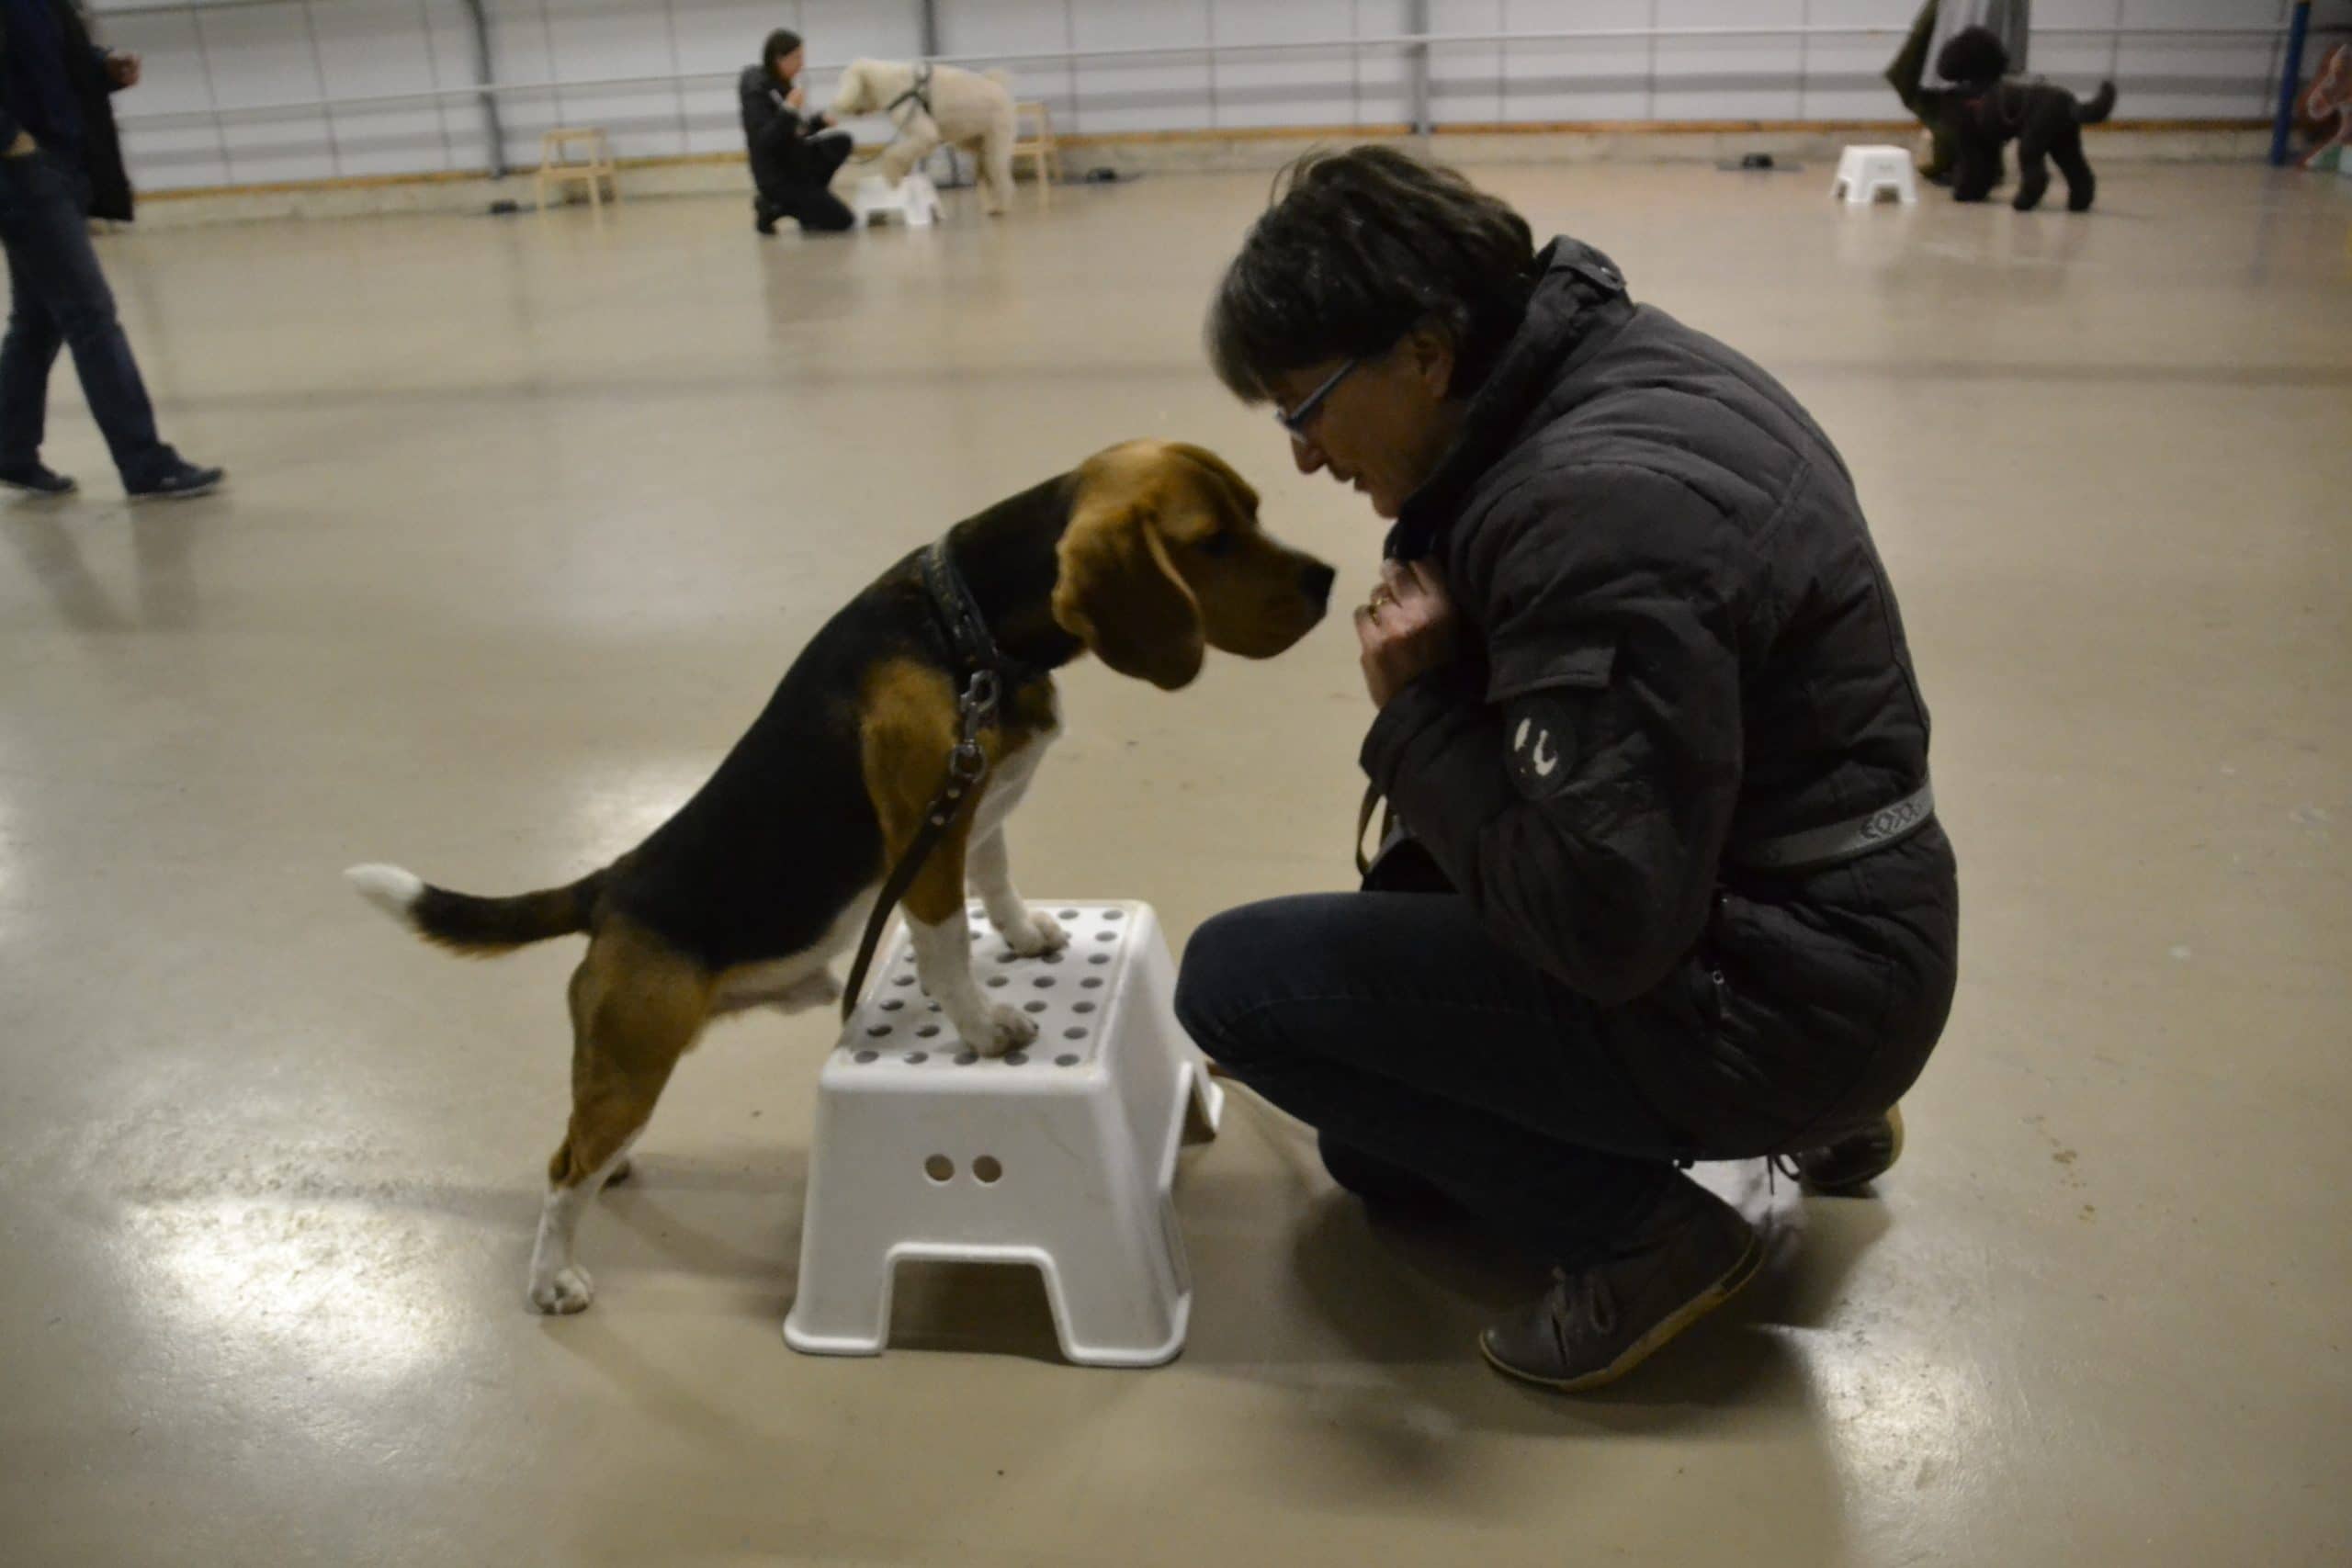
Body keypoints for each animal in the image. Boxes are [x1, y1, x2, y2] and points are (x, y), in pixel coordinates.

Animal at [350, 442, 1345, 1316]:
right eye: (1210, 541)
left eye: (1256, 510)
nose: (1330, 582)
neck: (962, 623)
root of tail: (614, 883)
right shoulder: (927, 834)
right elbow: (947, 948)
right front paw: (985, 1024)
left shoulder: (978, 808)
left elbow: (999, 877)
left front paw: (1024, 934)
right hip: (635, 1051)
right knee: (562, 1174)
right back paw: (553, 1277)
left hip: (627, 1063)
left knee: (585, 1141)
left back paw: (616, 1164)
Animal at [823, 58, 1015, 216]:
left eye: (843, 81)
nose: (837, 105)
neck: (887, 82)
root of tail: (999, 86)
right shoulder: (917, 139)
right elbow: (904, 154)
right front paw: (903, 174)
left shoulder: (925, 135)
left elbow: (893, 154)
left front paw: (894, 179)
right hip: (973, 141)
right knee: (987, 174)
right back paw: (992, 204)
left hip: (995, 143)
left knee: (1000, 176)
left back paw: (1000, 207)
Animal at [1938, 26, 2126, 211]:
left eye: (1959, 44)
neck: (1981, 83)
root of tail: (2069, 102)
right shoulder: (1989, 144)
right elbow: (1985, 170)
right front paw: (1977, 194)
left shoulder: (1971, 142)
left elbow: (1971, 167)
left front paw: (1963, 194)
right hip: (2064, 143)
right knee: (2079, 171)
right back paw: (2078, 204)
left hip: (2033, 140)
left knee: (2038, 175)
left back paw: (2022, 203)